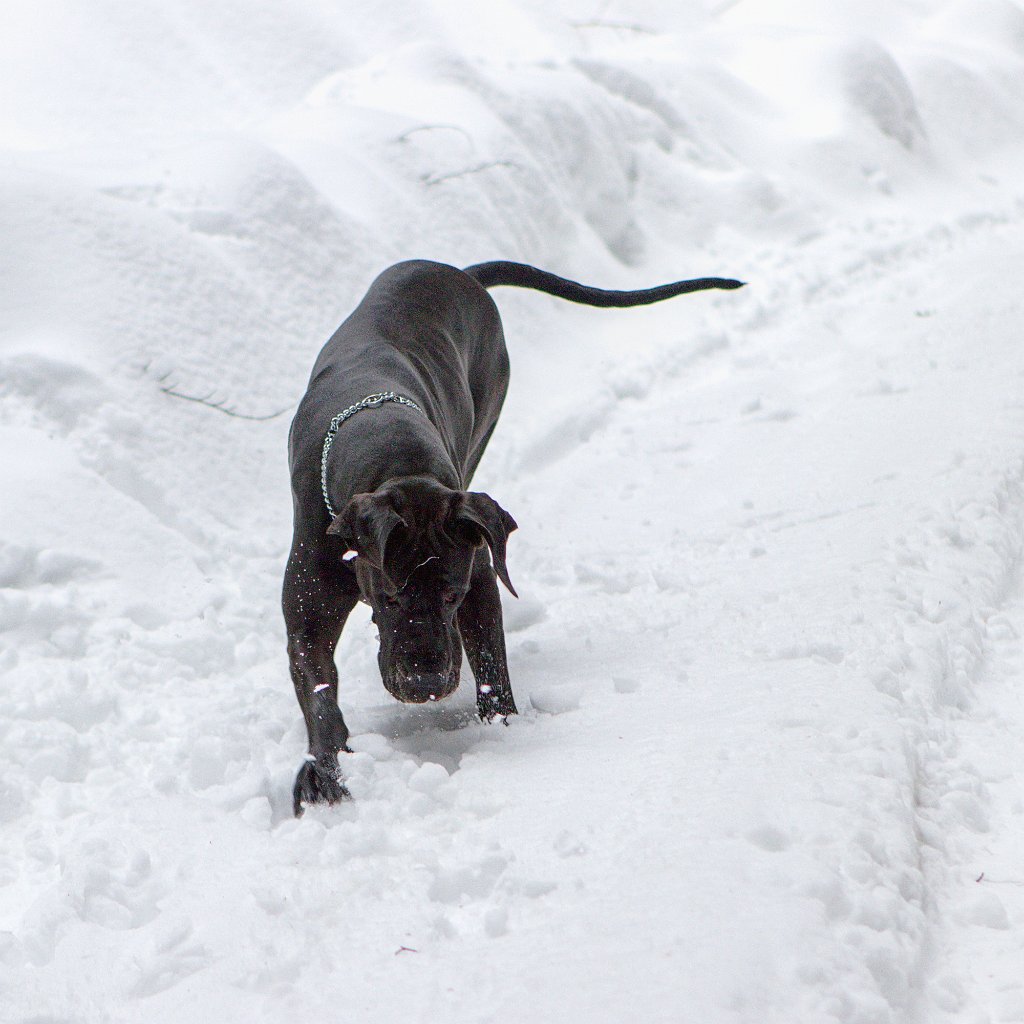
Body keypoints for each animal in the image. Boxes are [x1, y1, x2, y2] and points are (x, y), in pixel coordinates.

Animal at [284, 260, 741, 811]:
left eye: (453, 595)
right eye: (390, 598)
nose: (425, 683)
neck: (391, 450)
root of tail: (460, 272)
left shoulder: (479, 574)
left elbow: (490, 662)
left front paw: (502, 732)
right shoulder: (308, 615)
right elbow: (318, 691)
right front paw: (327, 772)